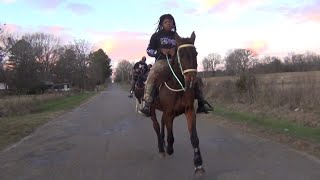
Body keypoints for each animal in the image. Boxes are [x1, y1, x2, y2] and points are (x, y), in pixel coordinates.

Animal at [150, 31, 205, 175]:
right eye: (182, 54)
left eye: (196, 53)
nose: (191, 79)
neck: (178, 85)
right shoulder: (169, 112)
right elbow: (170, 136)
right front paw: (169, 149)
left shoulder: (189, 110)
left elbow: (194, 138)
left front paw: (198, 164)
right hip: (151, 109)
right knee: (156, 126)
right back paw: (162, 149)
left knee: (161, 123)